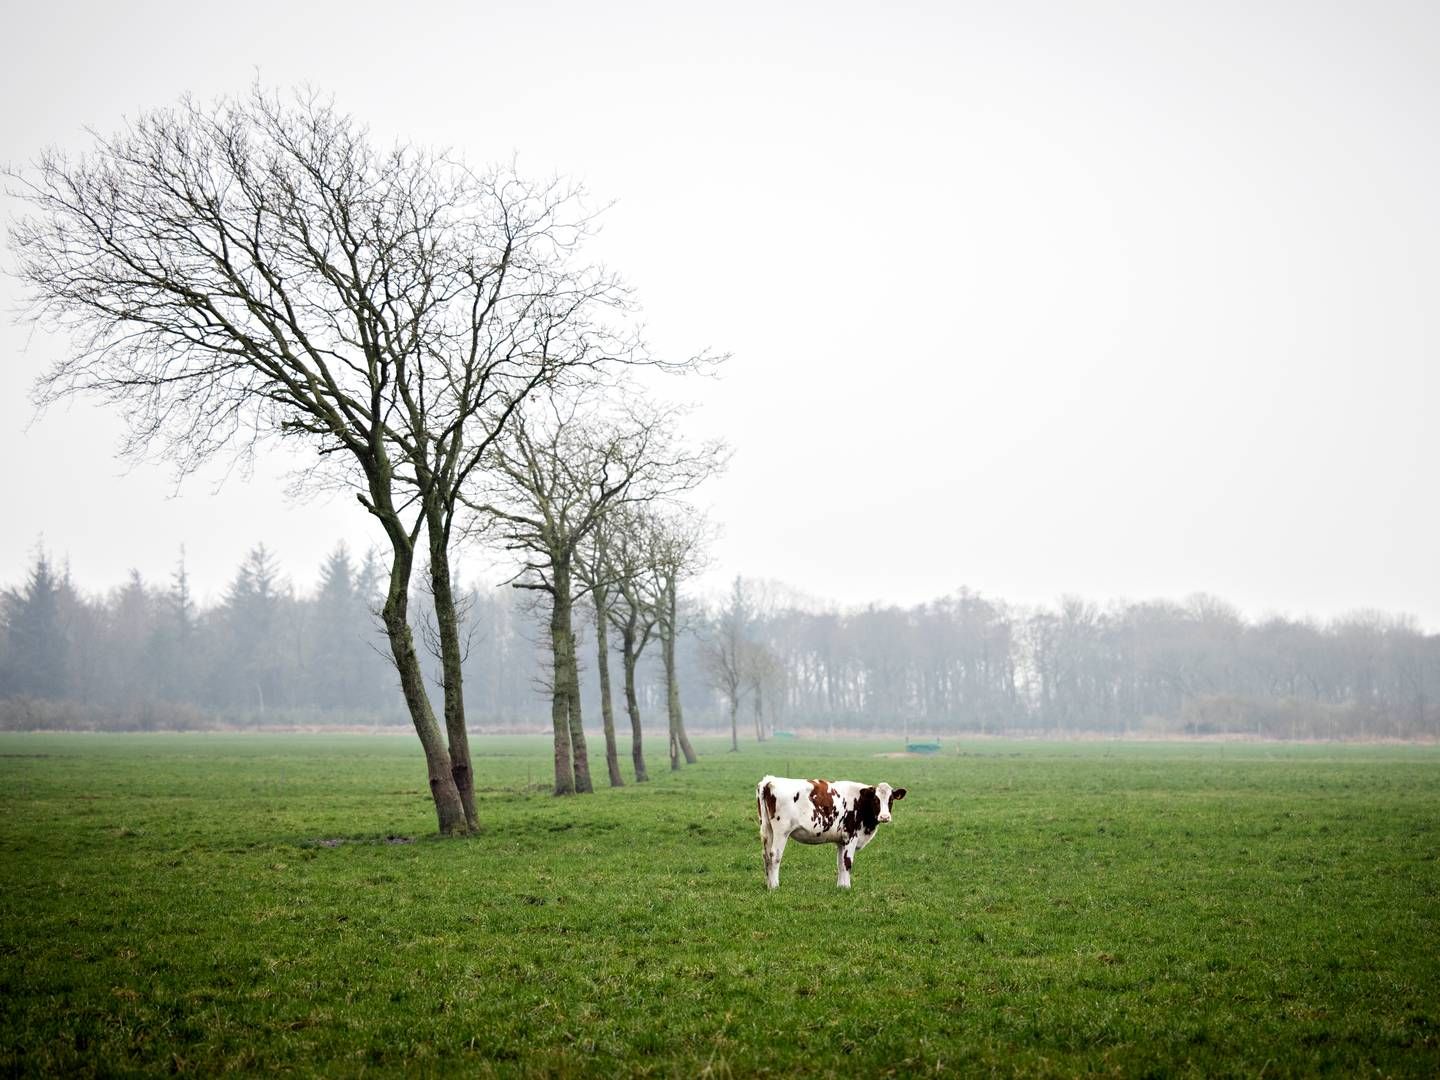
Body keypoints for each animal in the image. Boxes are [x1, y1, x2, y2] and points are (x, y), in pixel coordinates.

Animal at [760, 771, 904, 892]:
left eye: (891, 799)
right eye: (875, 799)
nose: (884, 817)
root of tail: (770, 780)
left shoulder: (841, 840)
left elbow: (840, 863)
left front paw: (841, 887)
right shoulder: (851, 836)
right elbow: (848, 862)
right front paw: (848, 887)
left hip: (768, 830)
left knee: (766, 855)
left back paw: (769, 885)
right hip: (781, 832)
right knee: (775, 856)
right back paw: (775, 886)